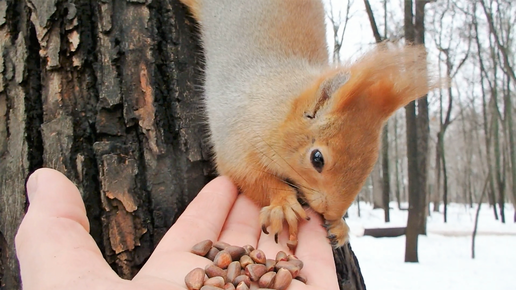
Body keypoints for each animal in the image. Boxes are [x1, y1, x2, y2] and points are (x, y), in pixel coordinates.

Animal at [177, 0, 436, 249]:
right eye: (317, 159)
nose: (330, 213)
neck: (275, 111)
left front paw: (339, 227)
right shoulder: (234, 136)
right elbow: (249, 176)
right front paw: (283, 204)